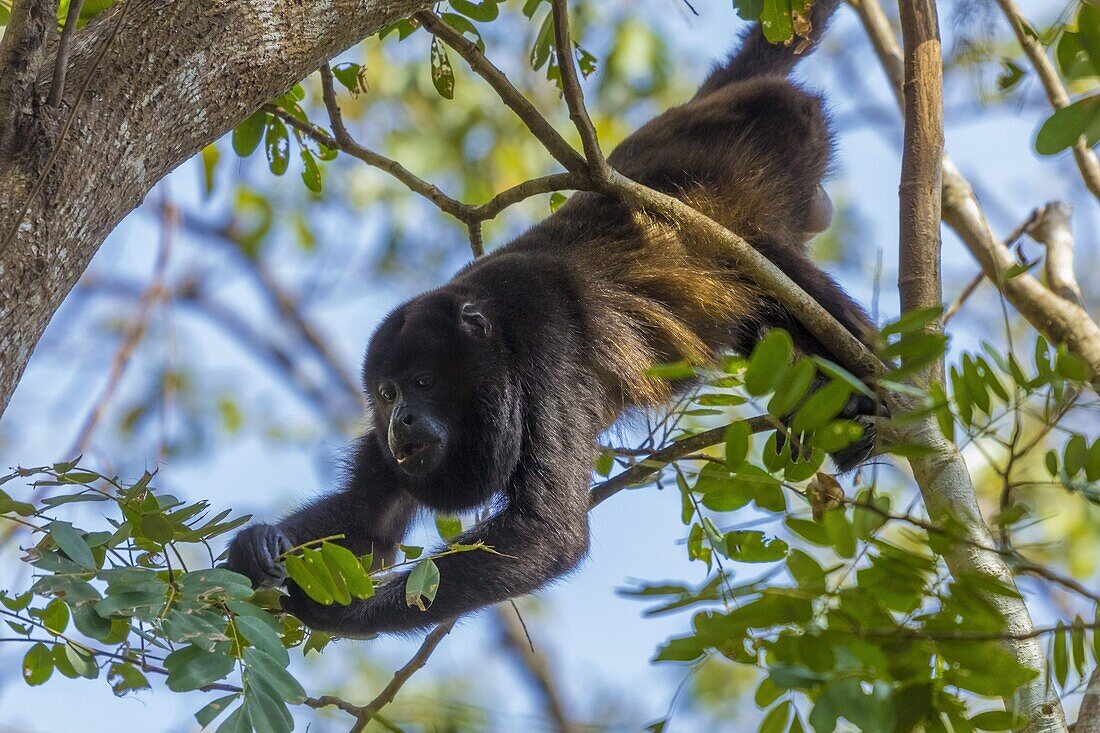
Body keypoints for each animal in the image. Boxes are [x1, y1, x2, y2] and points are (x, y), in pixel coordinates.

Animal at [227, 0, 871, 633]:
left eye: (424, 382)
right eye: (386, 394)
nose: (400, 421)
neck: (493, 331)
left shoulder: (548, 344)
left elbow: (546, 532)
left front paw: (334, 610)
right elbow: (367, 521)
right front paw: (257, 546)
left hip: (781, 142)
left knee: (784, 274)